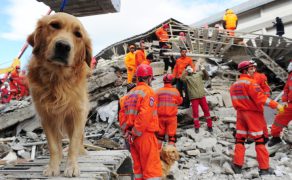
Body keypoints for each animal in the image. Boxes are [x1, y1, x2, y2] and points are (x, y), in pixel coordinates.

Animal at [27, 13, 92, 177]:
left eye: (78, 34)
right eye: (54, 25)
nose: (63, 46)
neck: (57, 80)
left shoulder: (78, 114)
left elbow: (74, 143)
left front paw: (72, 166)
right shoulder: (46, 117)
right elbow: (53, 146)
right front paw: (53, 167)